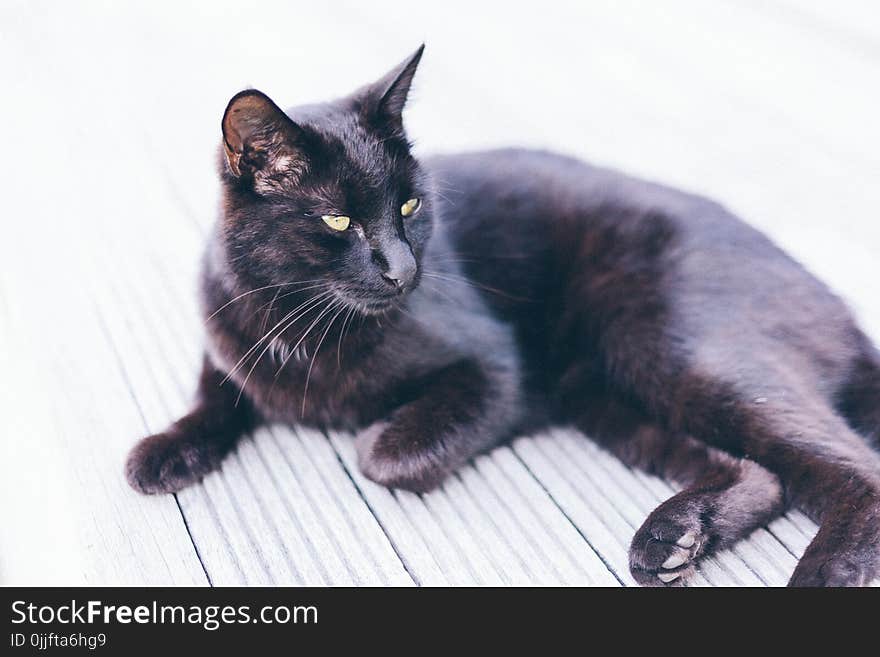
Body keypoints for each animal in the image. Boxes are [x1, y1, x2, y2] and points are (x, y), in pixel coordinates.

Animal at [127, 47, 880, 588]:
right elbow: (217, 391)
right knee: (762, 474)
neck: (301, 321)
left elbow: (384, 455)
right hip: (604, 390)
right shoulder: (227, 333)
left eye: (409, 206)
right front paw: (163, 449)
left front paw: (370, 431)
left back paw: (821, 572)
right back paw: (674, 539)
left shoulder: (497, 368)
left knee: (848, 463)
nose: (404, 271)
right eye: (338, 220)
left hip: (667, 346)